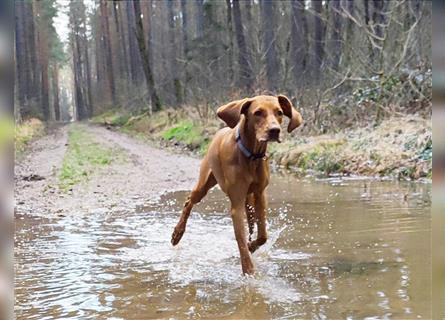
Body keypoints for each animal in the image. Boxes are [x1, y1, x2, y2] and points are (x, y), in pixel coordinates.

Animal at [170, 95, 302, 276]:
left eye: (279, 112)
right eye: (258, 112)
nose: (275, 130)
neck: (251, 155)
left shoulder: (260, 196)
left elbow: (263, 235)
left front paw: (252, 246)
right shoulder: (236, 203)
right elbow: (240, 239)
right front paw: (249, 270)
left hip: (249, 199)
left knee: (252, 222)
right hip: (204, 184)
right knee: (189, 201)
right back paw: (177, 233)